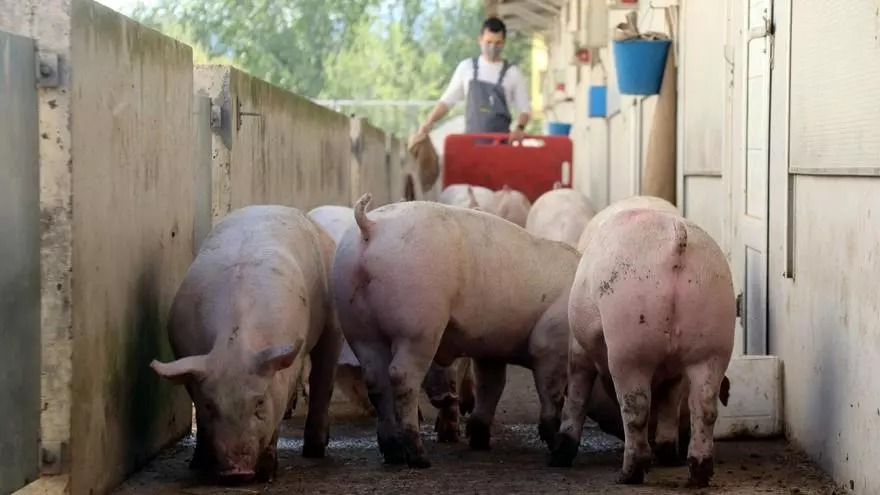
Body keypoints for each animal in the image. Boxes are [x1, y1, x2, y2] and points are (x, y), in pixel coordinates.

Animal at [150, 205, 342, 483]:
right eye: (210, 406)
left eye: (259, 402)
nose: (237, 471)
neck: (234, 343)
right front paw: (198, 464)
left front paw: (267, 475)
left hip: (333, 317)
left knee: (323, 378)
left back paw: (314, 449)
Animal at [331, 194, 579, 468]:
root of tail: (370, 226)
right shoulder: (550, 344)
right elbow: (550, 393)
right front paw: (553, 441)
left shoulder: (490, 348)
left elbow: (492, 385)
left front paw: (479, 440)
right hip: (418, 324)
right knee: (401, 376)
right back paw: (419, 458)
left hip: (357, 325)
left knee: (376, 380)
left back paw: (394, 454)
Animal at [550, 195, 736, 488]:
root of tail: (676, 238)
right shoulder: (676, 371)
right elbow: (671, 400)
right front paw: (669, 454)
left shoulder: (578, 345)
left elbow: (577, 393)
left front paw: (558, 457)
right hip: (714, 333)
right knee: (705, 406)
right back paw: (697, 474)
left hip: (629, 336)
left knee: (636, 407)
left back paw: (629, 475)